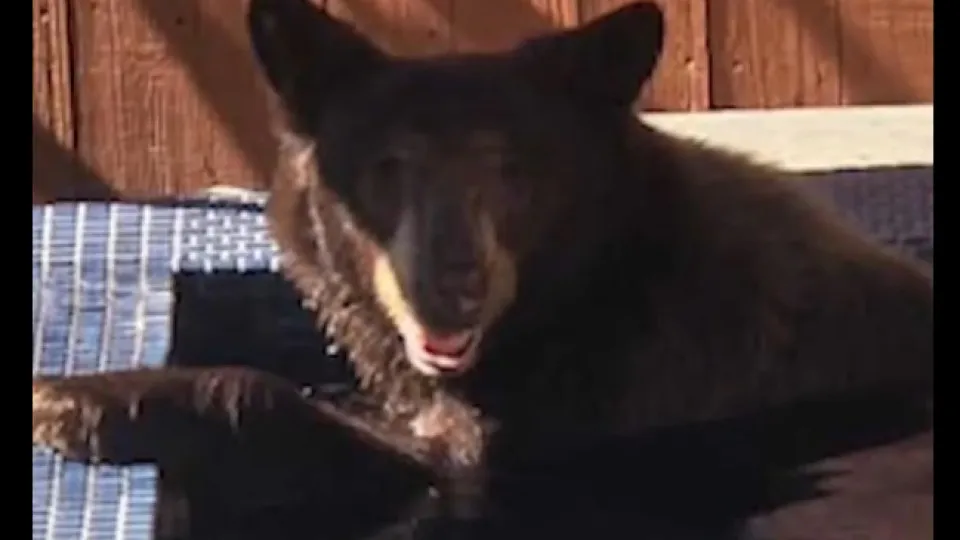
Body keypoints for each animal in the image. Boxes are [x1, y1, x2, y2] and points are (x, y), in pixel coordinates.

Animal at [33, 0, 932, 538]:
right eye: (389, 166)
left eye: (511, 167)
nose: (452, 288)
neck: (592, 288)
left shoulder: (622, 393)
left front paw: (86, 399)